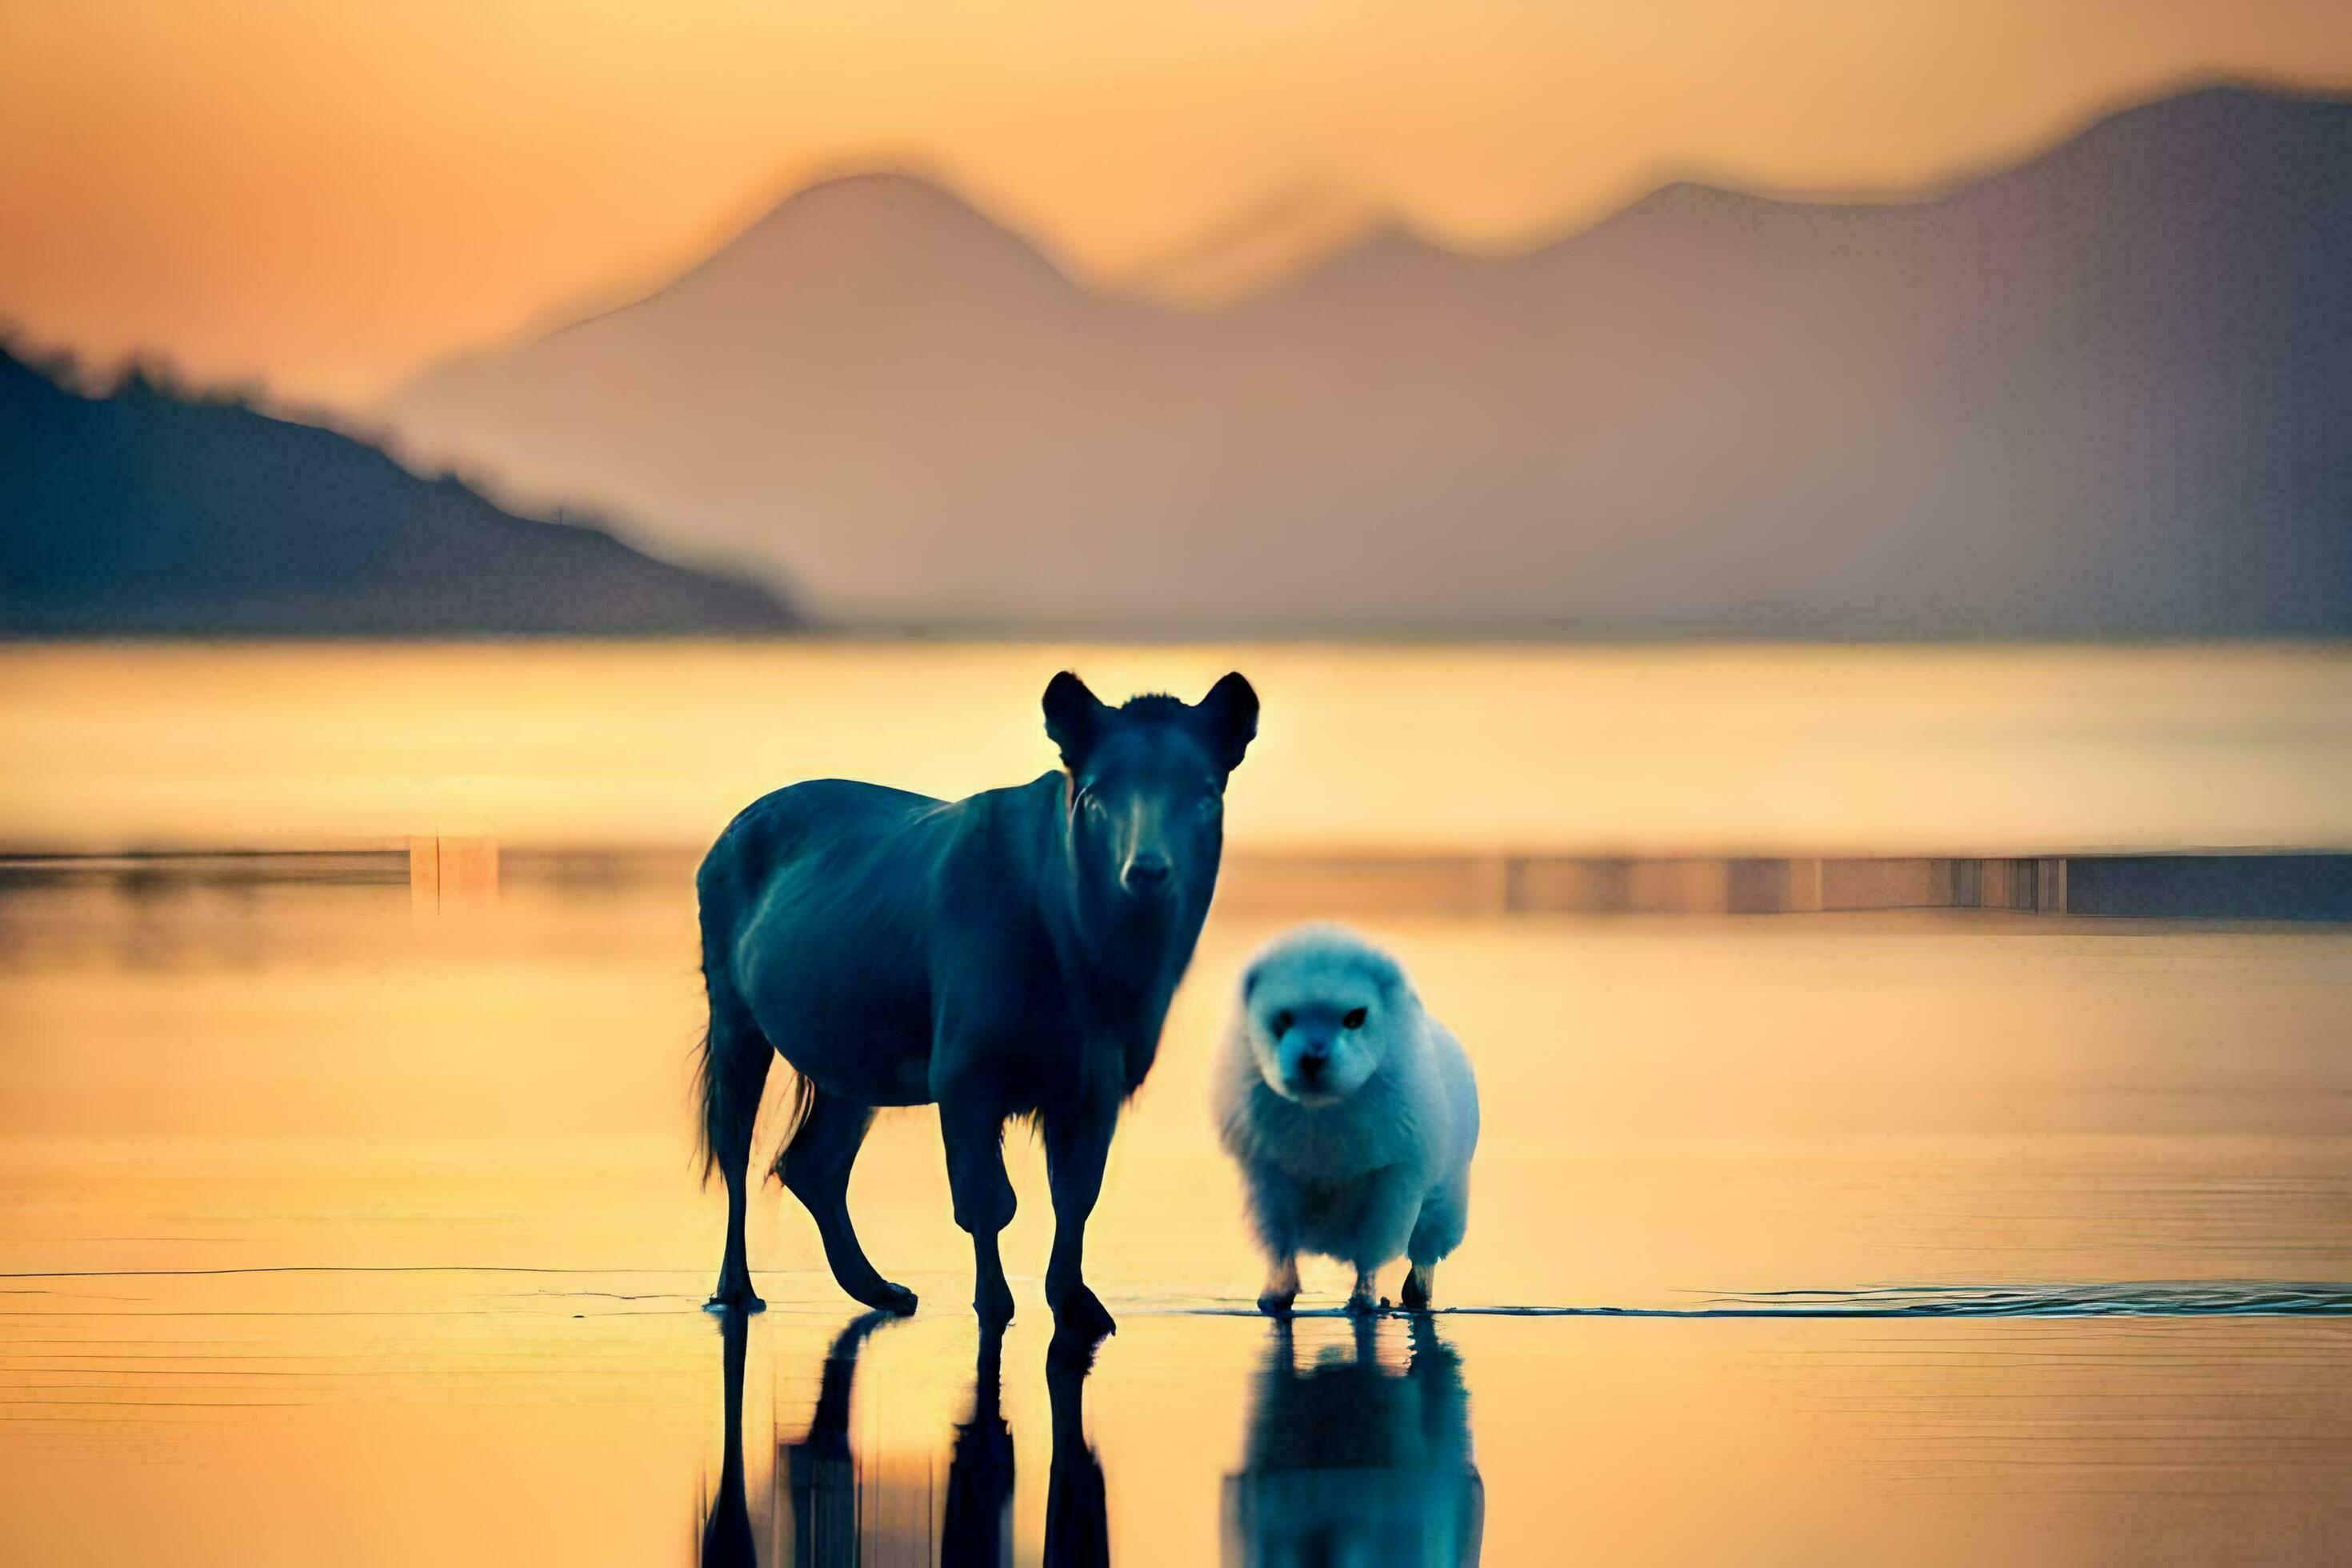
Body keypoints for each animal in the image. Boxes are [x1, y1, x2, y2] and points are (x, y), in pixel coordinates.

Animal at [695, 670, 1258, 1336]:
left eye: (1205, 794)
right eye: (1096, 794)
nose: (1147, 871)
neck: (1089, 966)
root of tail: (730, 831)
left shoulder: (1098, 1080)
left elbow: (1076, 1194)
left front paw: (1076, 1303)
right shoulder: (965, 1070)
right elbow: (987, 1201)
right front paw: (995, 1303)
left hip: (851, 1048)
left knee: (814, 1162)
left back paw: (881, 1289)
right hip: (735, 1017)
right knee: (735, 1150)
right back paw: (735, 1291)